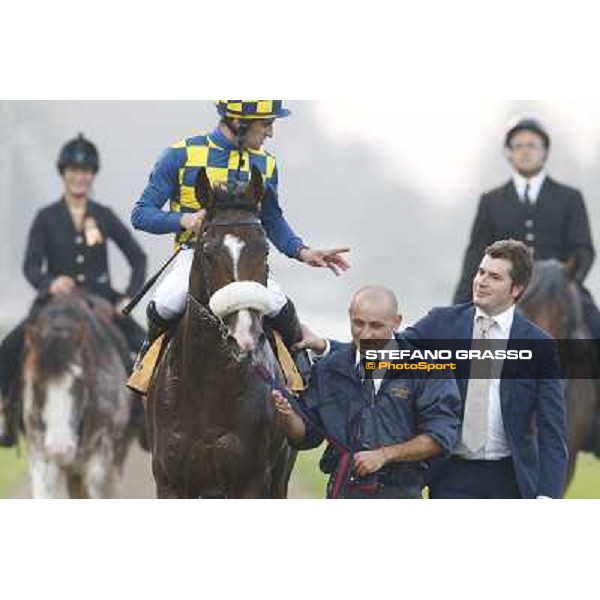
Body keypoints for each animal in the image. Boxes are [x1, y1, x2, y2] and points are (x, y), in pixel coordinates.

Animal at [148, 166, 298, 500]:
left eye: (265, 250)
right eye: (207, 252)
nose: (244, 336)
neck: (208, 390)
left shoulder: (252, 481)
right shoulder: (170, 482)